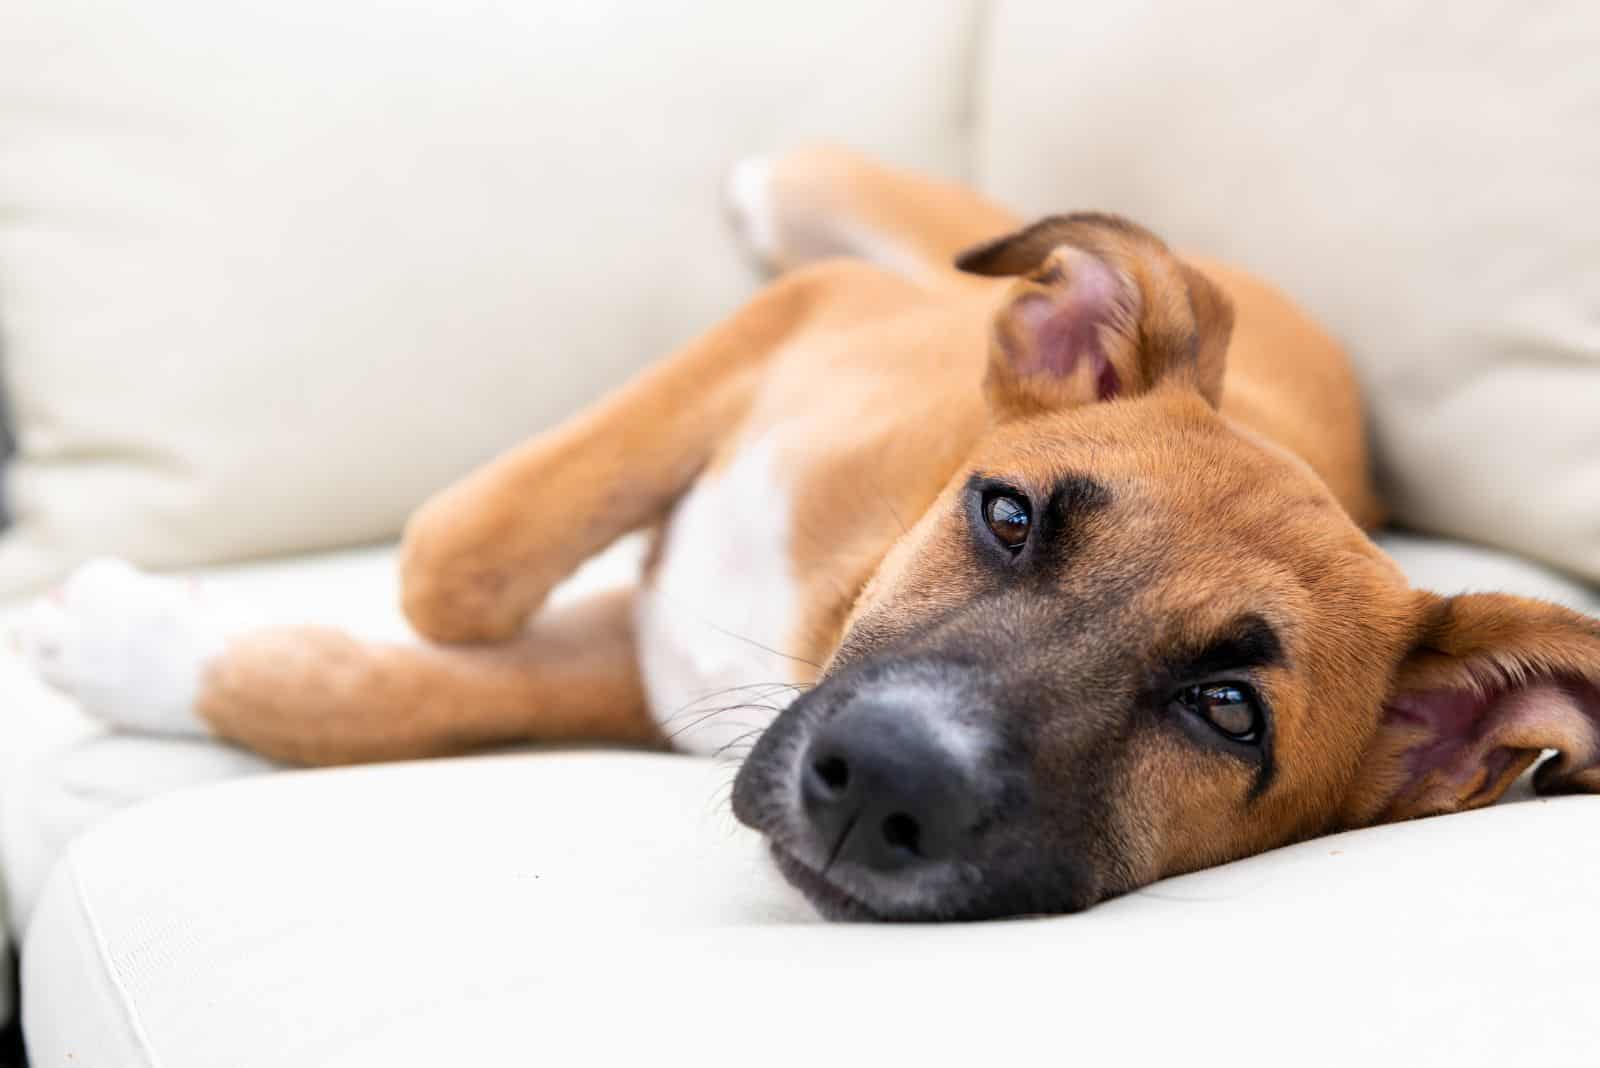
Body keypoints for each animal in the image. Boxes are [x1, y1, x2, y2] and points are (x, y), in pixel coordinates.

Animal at [18, 146, 1600, 920]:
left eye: (1226, 711)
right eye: (1007, 516)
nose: (880, 786)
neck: (824, 599)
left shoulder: (637, 675)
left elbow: (395, 693)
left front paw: (129, 644)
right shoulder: (787, 330)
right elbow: (450, 566)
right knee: (808, 180)